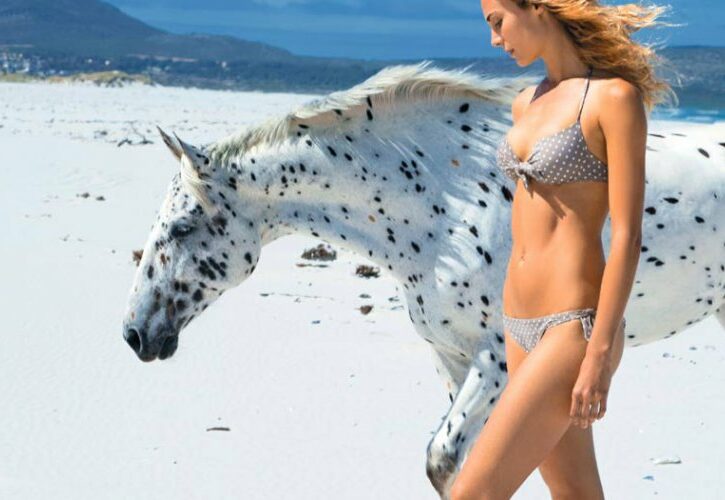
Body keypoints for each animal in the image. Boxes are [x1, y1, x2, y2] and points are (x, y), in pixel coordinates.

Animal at [122, 61, 725, 498]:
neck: (447, 198)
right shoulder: (453, 357)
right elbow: (460, 465)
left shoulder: (498, 360)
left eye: (182, 226)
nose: (134, 334)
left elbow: (447, 459)